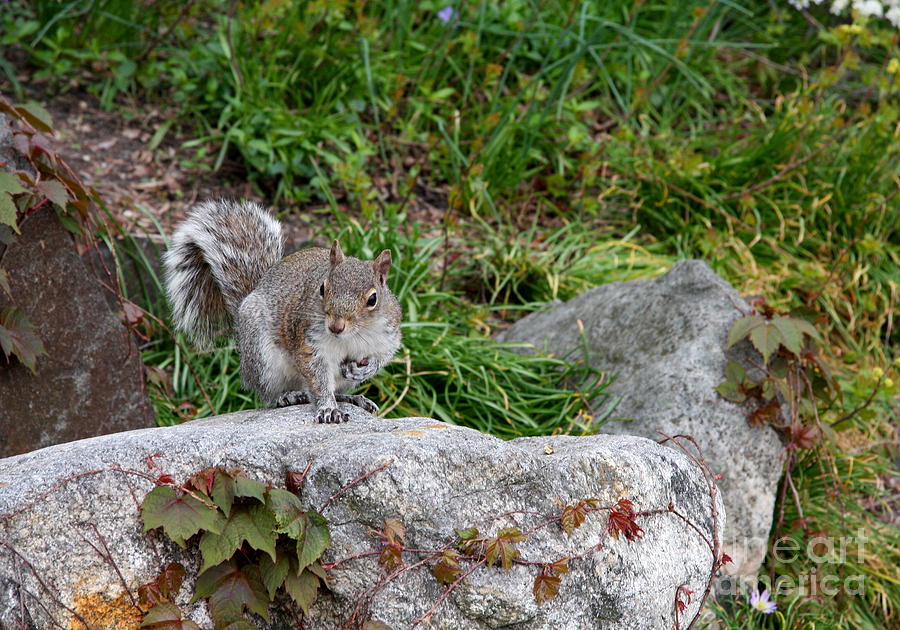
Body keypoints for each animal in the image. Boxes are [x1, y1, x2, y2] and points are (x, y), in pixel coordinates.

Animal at [162, 200, 400, 424]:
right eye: (322, 288)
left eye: (372, 299)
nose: (335, 326)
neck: (351, 336)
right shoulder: (309, 343)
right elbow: (317, 380)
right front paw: (327, 408)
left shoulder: (388, 333)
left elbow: (384, 355)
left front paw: (367, 368)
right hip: (263, 359)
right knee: (269, 395)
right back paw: (288, 397)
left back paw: (353, 398)